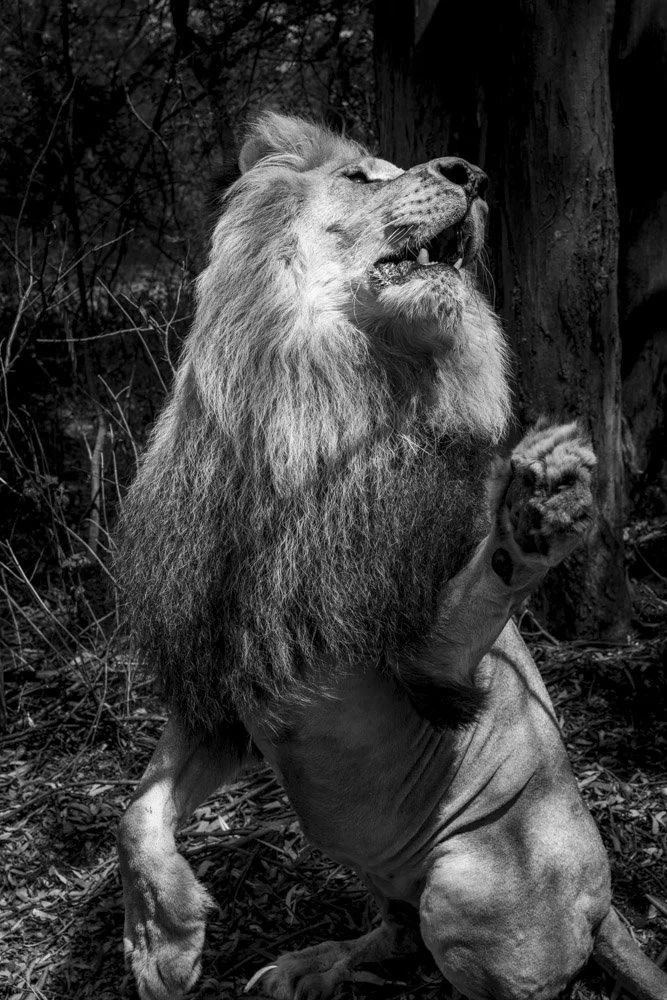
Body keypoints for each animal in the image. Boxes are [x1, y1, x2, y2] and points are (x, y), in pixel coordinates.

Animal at [117, 114, 667, 1000]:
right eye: (359, 177)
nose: (473, 173)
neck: (314, 415)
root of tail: (604, 902)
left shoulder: (430, 667)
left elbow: (481, 591)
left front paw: (540, 507)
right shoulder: (224, 683)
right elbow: (134, 812)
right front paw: (159, 944)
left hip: (465, 889)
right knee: (397, 932)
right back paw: (307, 967)